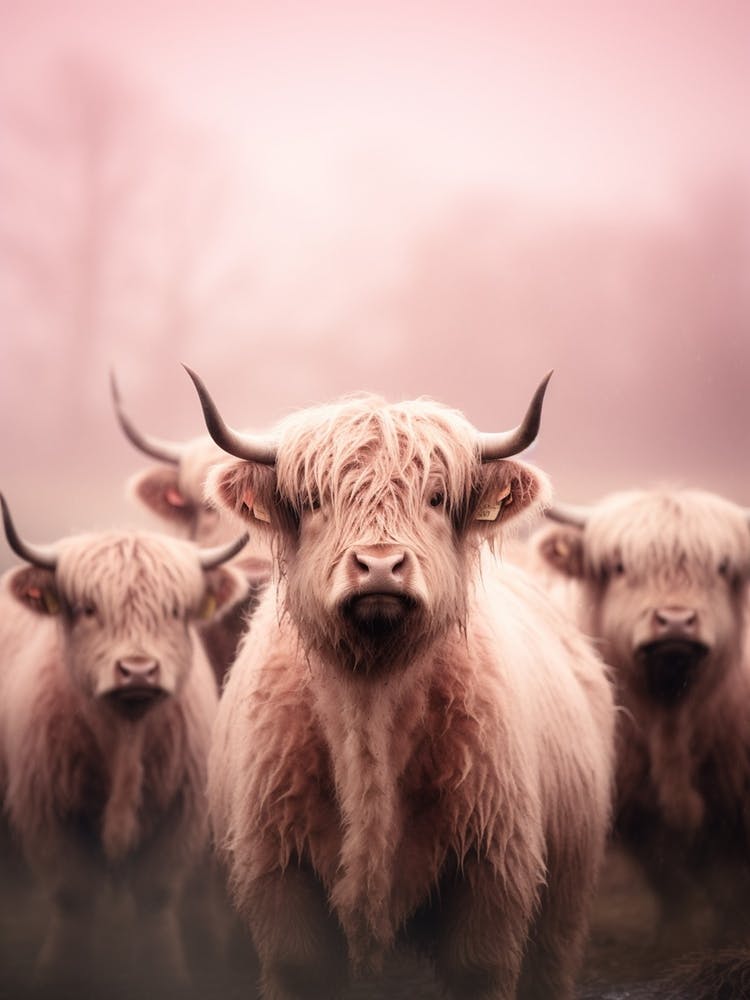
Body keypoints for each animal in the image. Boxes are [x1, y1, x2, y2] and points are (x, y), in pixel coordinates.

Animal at [0, 495, 249, 989]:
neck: (125, 738)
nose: (138, 671)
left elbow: (156, 895)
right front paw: (62, 974)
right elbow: (73, 897)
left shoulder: (180, 812)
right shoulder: (47, 809)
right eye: (87, 608)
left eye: (175, 611)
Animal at [183, 367, 615, 1000]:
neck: (371, 703)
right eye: (315, 500)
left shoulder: (492, 881)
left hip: (564, 903)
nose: (380, 566)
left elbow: (481, 965)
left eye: (435, 497)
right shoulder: (280, 882)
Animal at [535, 489, 750, 952]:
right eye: (620, 566)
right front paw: (676, 938)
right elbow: (669, 879)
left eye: (722, 567)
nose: (676, 621)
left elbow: (728, 883)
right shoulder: (636, 808)